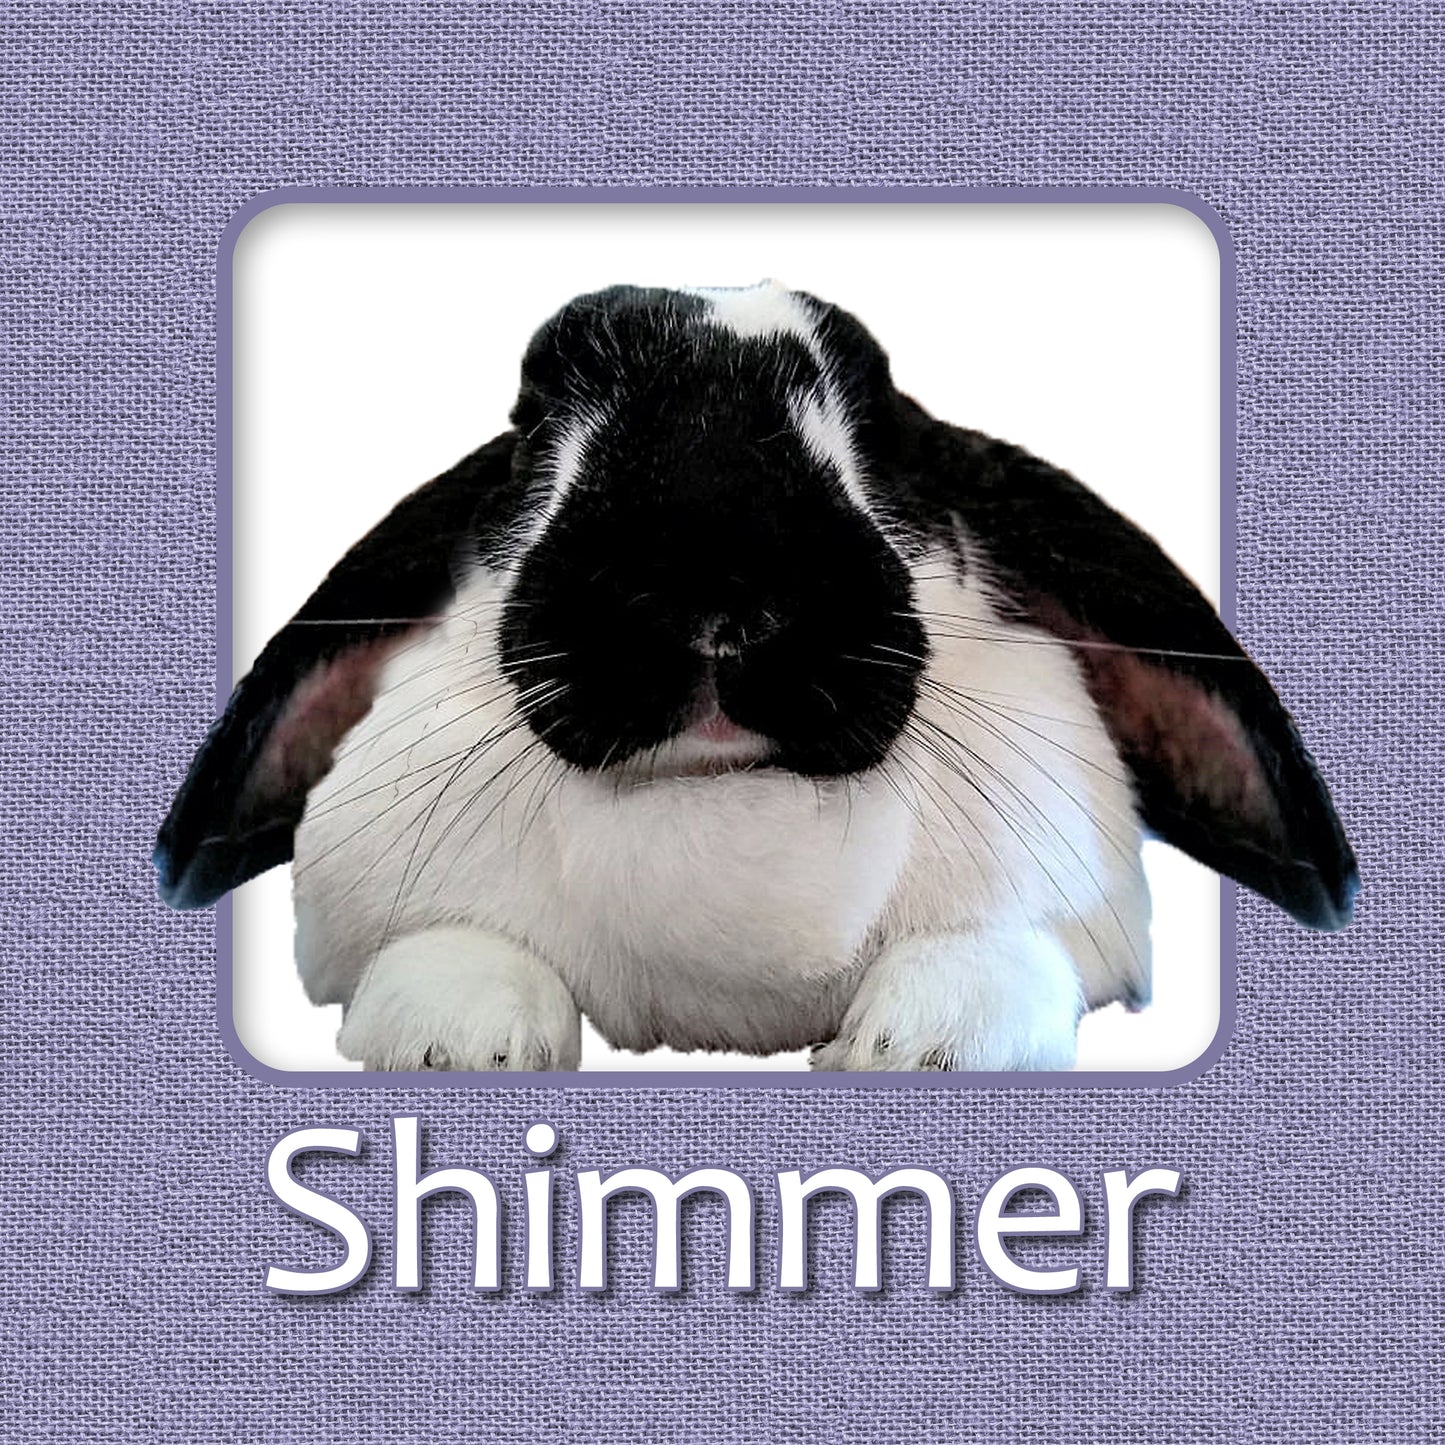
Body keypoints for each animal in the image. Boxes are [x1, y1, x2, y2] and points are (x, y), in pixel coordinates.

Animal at [155, 280, 1358, 1072]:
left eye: (874, 419)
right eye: (531, 420)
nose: (715, 595)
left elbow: (997, 963)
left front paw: (908, 1046)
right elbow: (440, 959)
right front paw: (464, 1039)